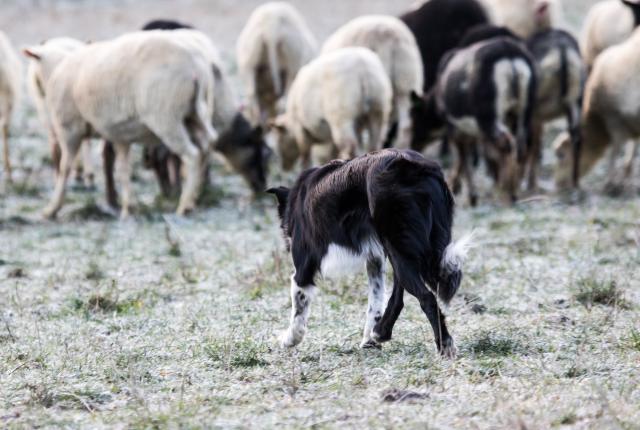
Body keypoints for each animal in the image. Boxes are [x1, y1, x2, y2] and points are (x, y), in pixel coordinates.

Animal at [264, 149, 470, 358]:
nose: (287, 242)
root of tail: (416, 167)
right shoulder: (375, 260)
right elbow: (376, 300)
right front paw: (369, 341)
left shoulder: (304, 266)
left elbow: (298, 308)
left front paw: (289, 339)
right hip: (404, 249)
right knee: (400, 293)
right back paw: (380, 332)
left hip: (398, 246)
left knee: (426, 297)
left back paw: (444, 345)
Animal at [410, 36, 536, 205]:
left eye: (414, 116)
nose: (414, 145)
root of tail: (511, 59)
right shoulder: (472, 131)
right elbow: (469, 155)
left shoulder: (453, 126)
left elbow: (463, 156)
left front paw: (467, 193)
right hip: (523, 113)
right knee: (522, 146)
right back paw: (513, 190)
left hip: (489, 117)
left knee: (506, 144)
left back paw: (507, 192)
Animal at [524, 29, 584, 191]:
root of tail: (562, 52)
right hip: (575, 105)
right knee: (577, 140)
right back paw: (575, 183)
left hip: (536, 110)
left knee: (533, 145)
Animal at [552, 28, 640, 191]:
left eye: (561, 154)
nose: (559, 185)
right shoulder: (631, 125)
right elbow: (632, 150)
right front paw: (626, 176)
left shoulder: (614, 119)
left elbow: (615, 150)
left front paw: (611, 183)